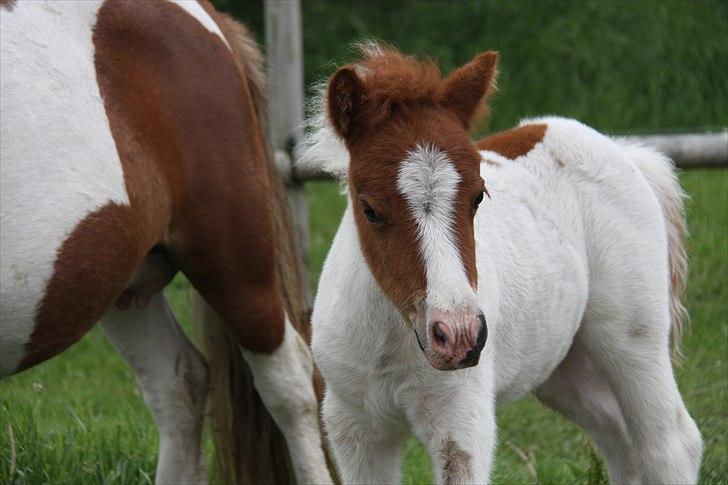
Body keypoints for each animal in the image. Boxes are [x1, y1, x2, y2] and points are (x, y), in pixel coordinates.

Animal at [300, 43, 700, 482]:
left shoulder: (461, 423)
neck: (392, 336)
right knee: (619, 440)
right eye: (370, 210)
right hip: (562, 362)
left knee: (669, 445)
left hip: (632, 339)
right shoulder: (354, 429)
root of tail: (620, 150)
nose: (459, 334)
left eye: (478, 195)